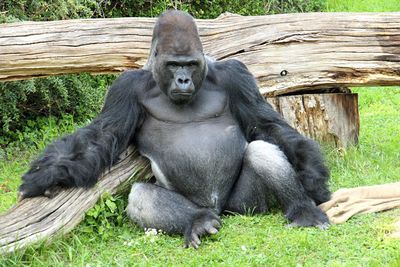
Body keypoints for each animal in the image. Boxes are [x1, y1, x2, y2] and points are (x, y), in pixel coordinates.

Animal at [18, 10, 330, 249]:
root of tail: (217, 208)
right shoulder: (125, 88)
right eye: (173, 65)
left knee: (262, 150)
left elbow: (266, 125)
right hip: (210, 207)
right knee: (141, 195)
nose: (183, 80)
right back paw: (198, 222)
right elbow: (102, 136)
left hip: (245, 206)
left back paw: (302, 211)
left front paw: (313, 177)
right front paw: (47, 174)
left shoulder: (236, 74)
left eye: (190, 64)